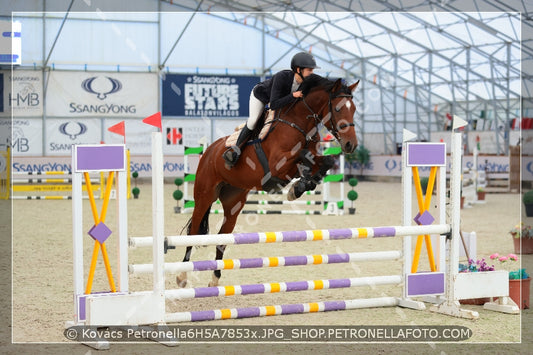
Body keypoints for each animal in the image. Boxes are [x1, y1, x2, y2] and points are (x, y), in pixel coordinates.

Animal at [178, 73, 358, 288]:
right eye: (338, 108)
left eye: (354, 109)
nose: (351, 145)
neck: (298, 123)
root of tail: (209, 151)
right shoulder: (277, 165)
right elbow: (303, 155)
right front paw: (298, 186)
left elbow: (324, 160)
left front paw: (301, 186)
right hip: (204, 196)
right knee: (193, 231)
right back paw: (182, 276)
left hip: (233, 202)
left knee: (222, 237)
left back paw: (215, 279)